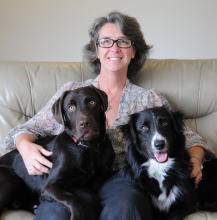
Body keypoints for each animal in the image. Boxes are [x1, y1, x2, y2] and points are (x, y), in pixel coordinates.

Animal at [0, 85, 115, 220]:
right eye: (71, 108)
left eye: (92, 102)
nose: (85, 123)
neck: (88, 148)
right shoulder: (49, 186)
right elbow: (72, 198)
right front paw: (78, 215)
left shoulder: (98, 179)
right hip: (10, 179)